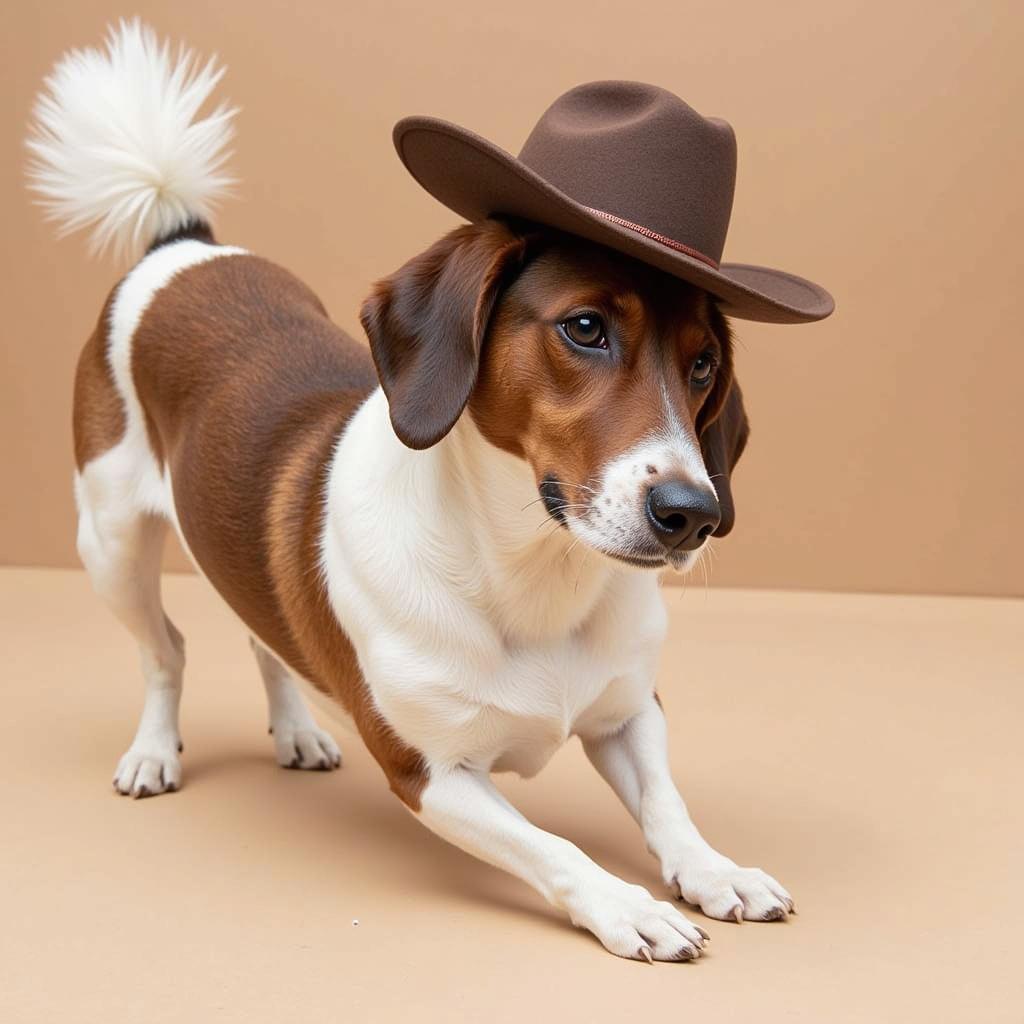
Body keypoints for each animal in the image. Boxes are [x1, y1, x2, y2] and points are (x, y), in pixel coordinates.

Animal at [28, 22, 831, 958]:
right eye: (585, 328)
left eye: (703, 364)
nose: (691, 516)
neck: (532, 578)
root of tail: (181, 247)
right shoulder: (430, 773)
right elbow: (553, 848)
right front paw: (626, 904)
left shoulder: (633, 714)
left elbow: (668, 804)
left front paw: (712, 869)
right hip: (110, 545)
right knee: (166, 651)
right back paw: (155, 749)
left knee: (262, 634)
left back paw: (297, 726)